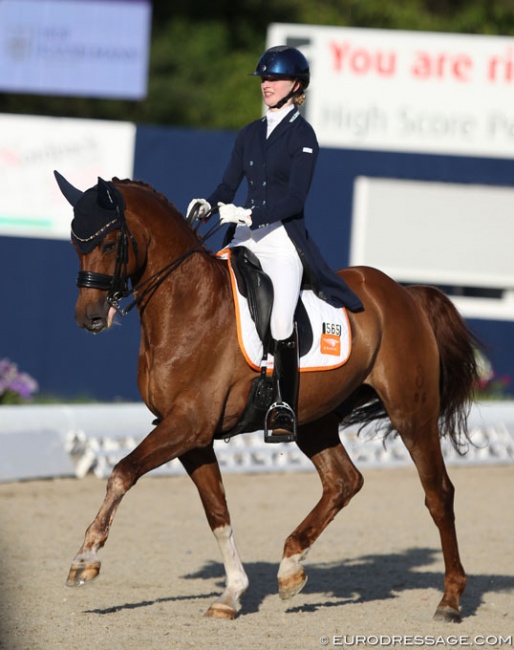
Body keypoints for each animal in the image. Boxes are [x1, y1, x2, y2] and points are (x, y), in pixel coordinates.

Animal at [54, 170, 478, 620]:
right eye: (75, 244)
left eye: (110, 243)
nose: (89, 317)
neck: (187, 304)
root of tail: (405, 294)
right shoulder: (192, 435)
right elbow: (217, 511)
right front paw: (232, 594)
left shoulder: (189, 424)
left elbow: (122, 471)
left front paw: (85, 559)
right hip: (314, 419)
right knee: (343, 481)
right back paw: (290, 567)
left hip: (411, 413)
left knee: (438, 493)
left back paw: (450, 599)